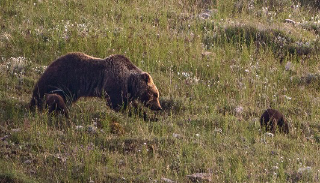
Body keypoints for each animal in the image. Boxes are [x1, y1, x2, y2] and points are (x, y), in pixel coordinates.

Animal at [29, 52, 162, 113]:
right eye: (155, 94)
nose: (159, 107)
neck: (129, 82)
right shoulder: (114, 84)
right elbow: (117, 104)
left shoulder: (125, 91)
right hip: (60, 81)